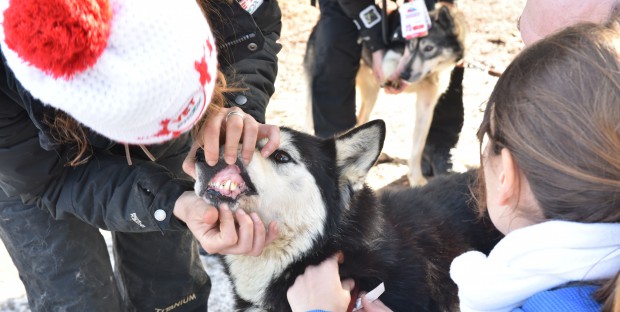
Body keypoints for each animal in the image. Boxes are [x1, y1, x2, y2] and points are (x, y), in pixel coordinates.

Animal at [358, 3, 464, 186]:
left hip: (371, 97)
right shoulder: (392, 56)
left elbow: (418, 147)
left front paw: (416, 178)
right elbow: (389, 62)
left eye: (429, 48)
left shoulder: (427, 104)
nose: (404, 74)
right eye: (411, 46)